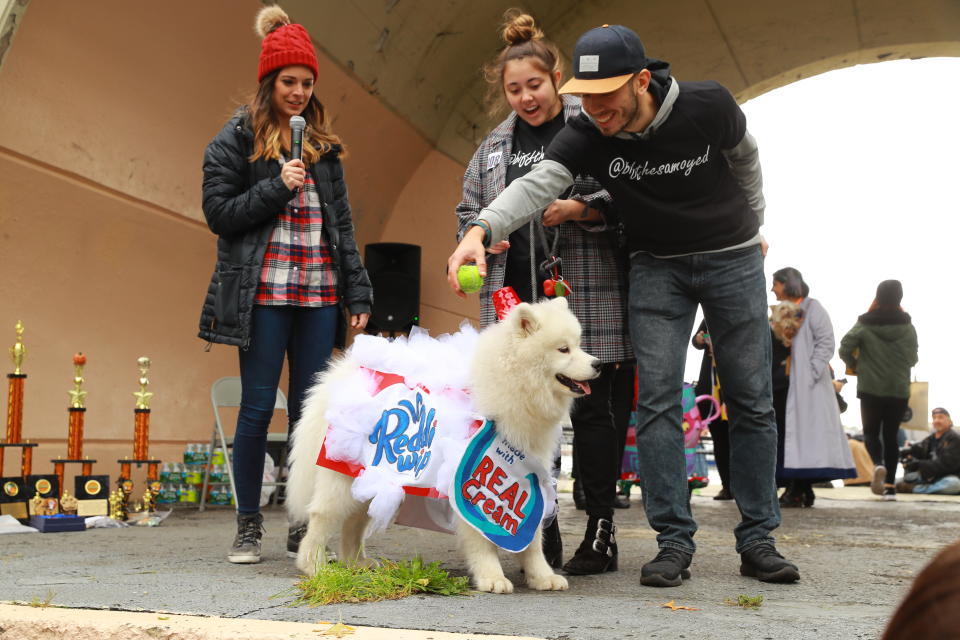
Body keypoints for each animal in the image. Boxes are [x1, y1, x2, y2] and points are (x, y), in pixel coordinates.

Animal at [284, 298, 600, 592]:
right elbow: (481, 540)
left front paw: (542, 577)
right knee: (322, 516)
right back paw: (314, 565)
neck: (511, 384)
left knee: (354, 522)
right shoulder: (469, 481)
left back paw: (356, 563)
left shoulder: (526, 472)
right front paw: (492, 577)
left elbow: (533, 539)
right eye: (563, 349)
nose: (597, 364)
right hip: (342, 476)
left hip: (372, 477)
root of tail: (341, 374)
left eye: (578, 345)